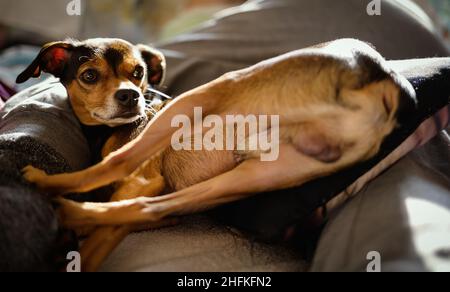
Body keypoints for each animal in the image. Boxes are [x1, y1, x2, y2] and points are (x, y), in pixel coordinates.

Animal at [20, 38, 414, 272]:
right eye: (89, 75)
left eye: (139, 72)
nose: (130, 96)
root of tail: (387, 80)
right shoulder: (146, 191)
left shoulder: (144, 179)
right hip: (258, 175)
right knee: (151, 208)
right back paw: (69, 211)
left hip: (211, 92)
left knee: (119, 165)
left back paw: (48, 188)